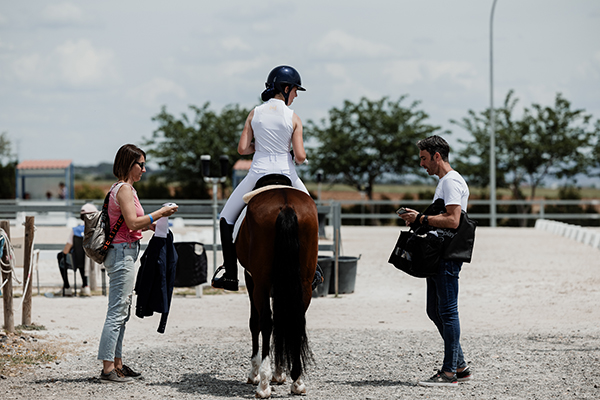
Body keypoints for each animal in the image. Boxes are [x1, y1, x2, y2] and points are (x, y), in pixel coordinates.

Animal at [236, 185, 322, 396]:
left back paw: (263, 384)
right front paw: (280, 372)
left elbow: (256, 322)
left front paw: (256, 373)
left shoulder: (251, 279)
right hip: (303, 283)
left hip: (261, 283)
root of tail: (286, 204)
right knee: (295, 320)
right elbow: (283, 321)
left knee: (265, 322)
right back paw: (297, 381)